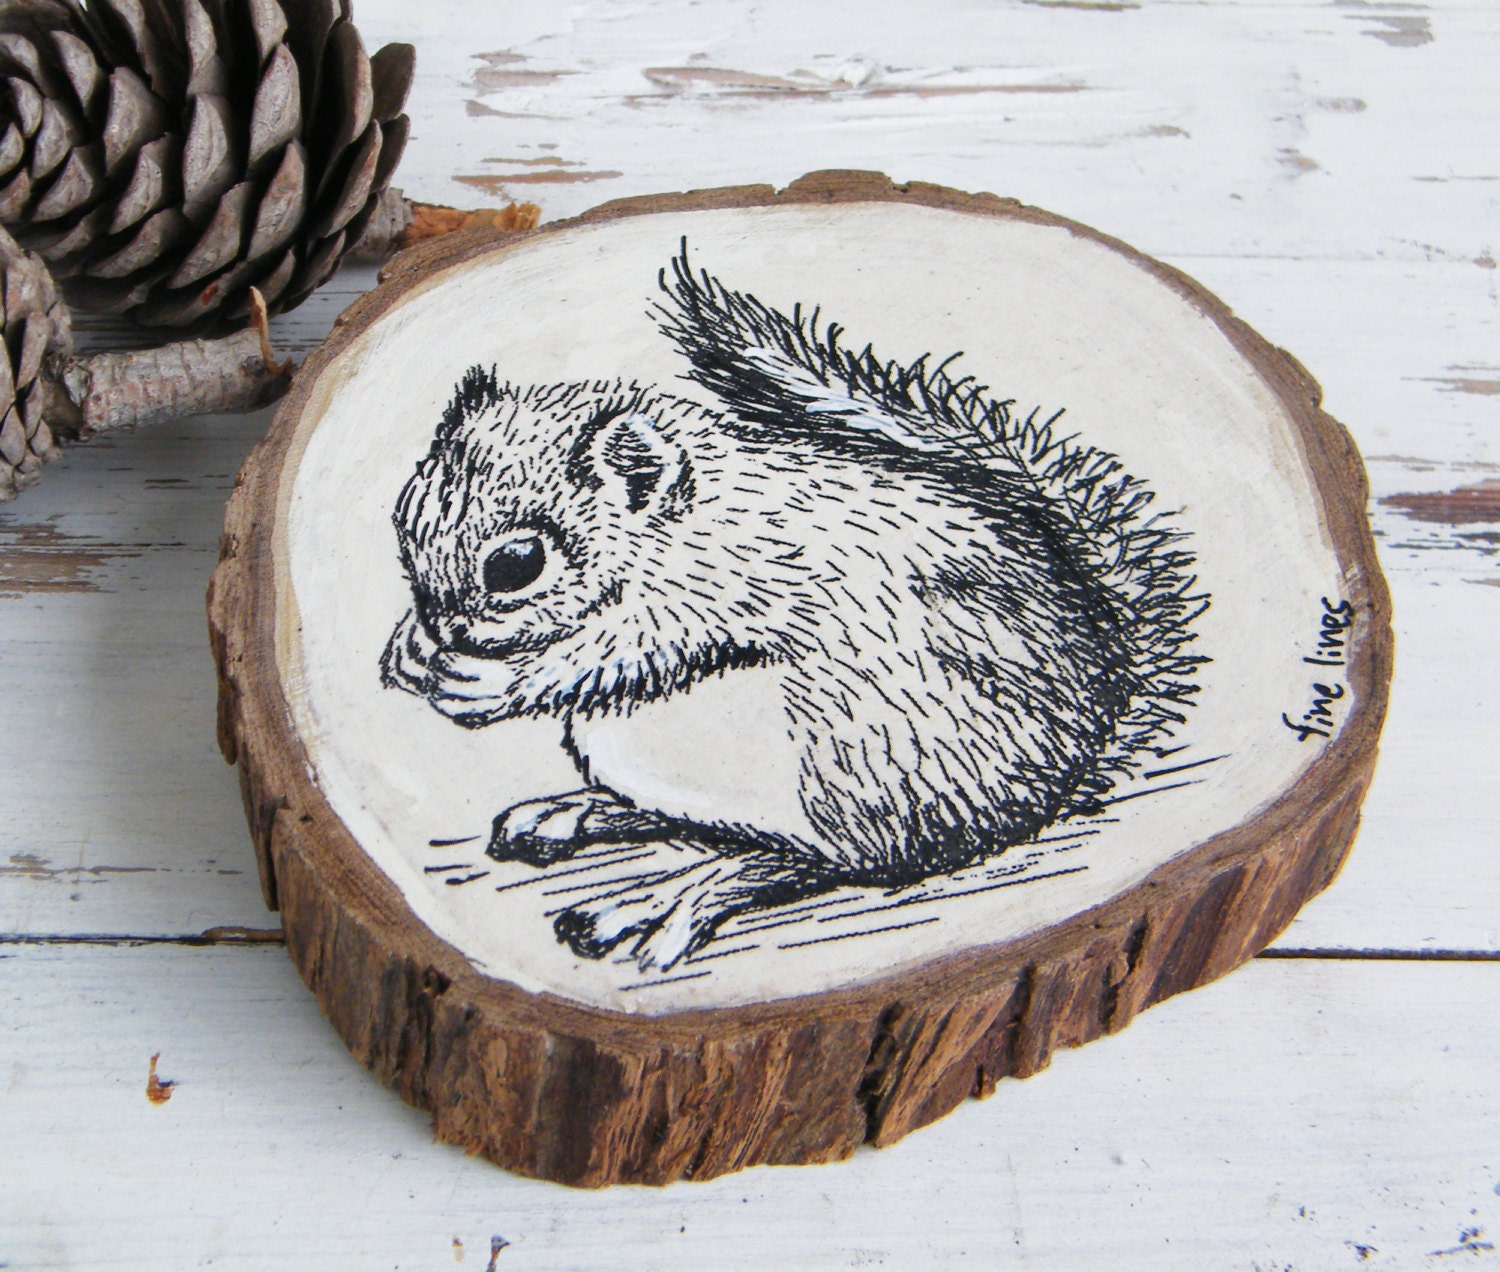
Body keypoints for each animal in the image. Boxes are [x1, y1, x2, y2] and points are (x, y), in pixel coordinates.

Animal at [381, 241, 1208, 971]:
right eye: (405, 511)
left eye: (516, 563)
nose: (444, 625)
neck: (681, 522)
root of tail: (1063, 768)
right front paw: (408, 650)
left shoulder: (723, 584)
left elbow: (626, 653)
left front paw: (495, 681)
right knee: (701, 825)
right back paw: (572, 816)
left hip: (853, 766)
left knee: (807, 863)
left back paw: (661, 907)